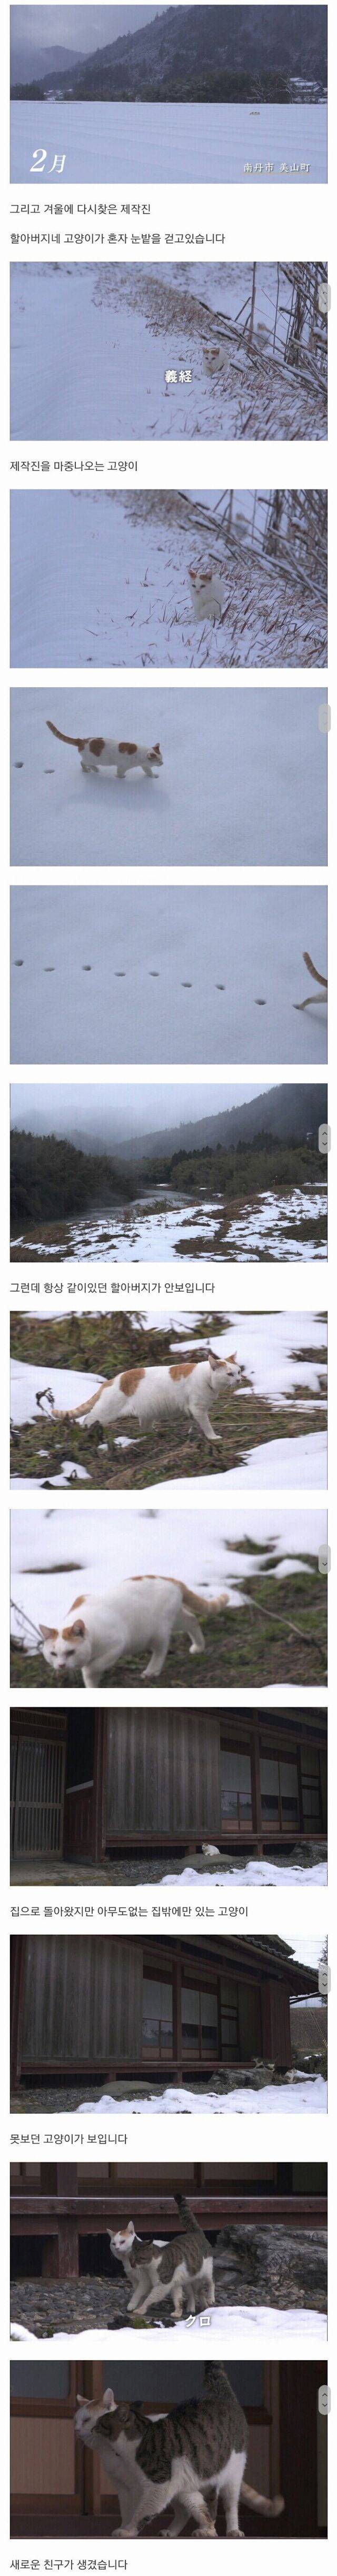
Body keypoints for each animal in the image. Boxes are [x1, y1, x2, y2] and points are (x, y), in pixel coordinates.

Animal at [38, 1566, 229, 1689]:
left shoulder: (116, 1647)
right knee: (193, 1620)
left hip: (160, 1630)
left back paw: (152, 1671)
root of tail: (171, 1580)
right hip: (177, 1619)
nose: (61, 1665)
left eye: (71, 1652)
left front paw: (89, 1670)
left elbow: (92, 1669)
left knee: (162, 1649)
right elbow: (90, 1680)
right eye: (53, 1654)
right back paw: (199, 1646)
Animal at [45, 721, 163, 778]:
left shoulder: (145, 767)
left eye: (162, 759)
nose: (162, 764)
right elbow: (120, 775)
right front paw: (121, 779)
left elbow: (149, 773)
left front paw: (153, 777)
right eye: (158, 761)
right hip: (93, 759)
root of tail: (83, 741)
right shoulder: (122, 767)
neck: (140, 755)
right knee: (83, 762)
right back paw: (92, 770)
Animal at [54, 1350, 240, 1453]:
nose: (239, 1380)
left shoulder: (192, 1411)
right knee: (88, 1419)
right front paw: (213, 1437)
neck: (206, 1377)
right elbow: (207, 1426)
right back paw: (89, 1436)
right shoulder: (198, 1409)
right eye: (230, 1374)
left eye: (238, 1371)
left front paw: (191, 1435)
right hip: (106, 1413)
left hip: (148, 1414)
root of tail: (110, 1381)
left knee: (145, 1429)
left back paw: (155, 1436)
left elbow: (193, 1424)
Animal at [75, 2370, 283, 2534]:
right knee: (190, 2509)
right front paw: (124, 2528)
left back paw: (232, 2531)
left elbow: (139, 2511)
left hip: (229, 2477)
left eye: (87, 2420)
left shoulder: (146, 2486)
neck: (113, 2454)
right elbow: (128, 2512)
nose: (76, 2430)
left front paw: (127, 2530)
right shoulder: (125, 2487)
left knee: (229, 2505)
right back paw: (176, 2531)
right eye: (76, 2420)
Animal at [110, 2195, 216, 2318]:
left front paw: (136, 2307)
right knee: (196, 2293)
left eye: (122, 2242)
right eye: (113, 2244)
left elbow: (144, 2296)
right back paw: (195, 2308)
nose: (117, 2248)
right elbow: (174, 2298)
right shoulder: (140, 2281)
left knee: (210, 2283)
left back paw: (210, 2299)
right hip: (188, 2280)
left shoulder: (153, 2283)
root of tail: (196, 2233)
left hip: (205, 2272)